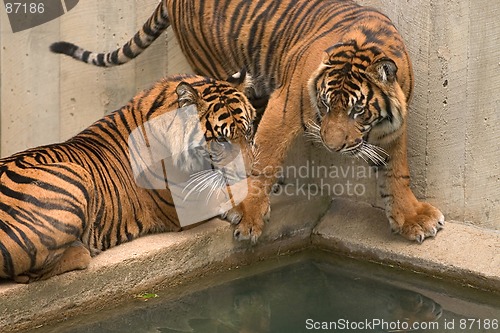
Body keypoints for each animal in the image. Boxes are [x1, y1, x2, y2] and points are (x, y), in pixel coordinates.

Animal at [0, 71, 256, 282]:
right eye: (221, 139)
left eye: (248, 131)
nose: (250, 171)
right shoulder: (187, 203)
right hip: (75, 175)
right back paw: (81, 249)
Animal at [51, 0, 446, 244]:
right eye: (323, 103)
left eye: (357, 111)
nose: (332, 147)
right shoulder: (286, 106)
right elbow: (263, 161)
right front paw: (248, 214)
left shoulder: (394, 126)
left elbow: (397, 171)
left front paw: (412, 218)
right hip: (217, 70)